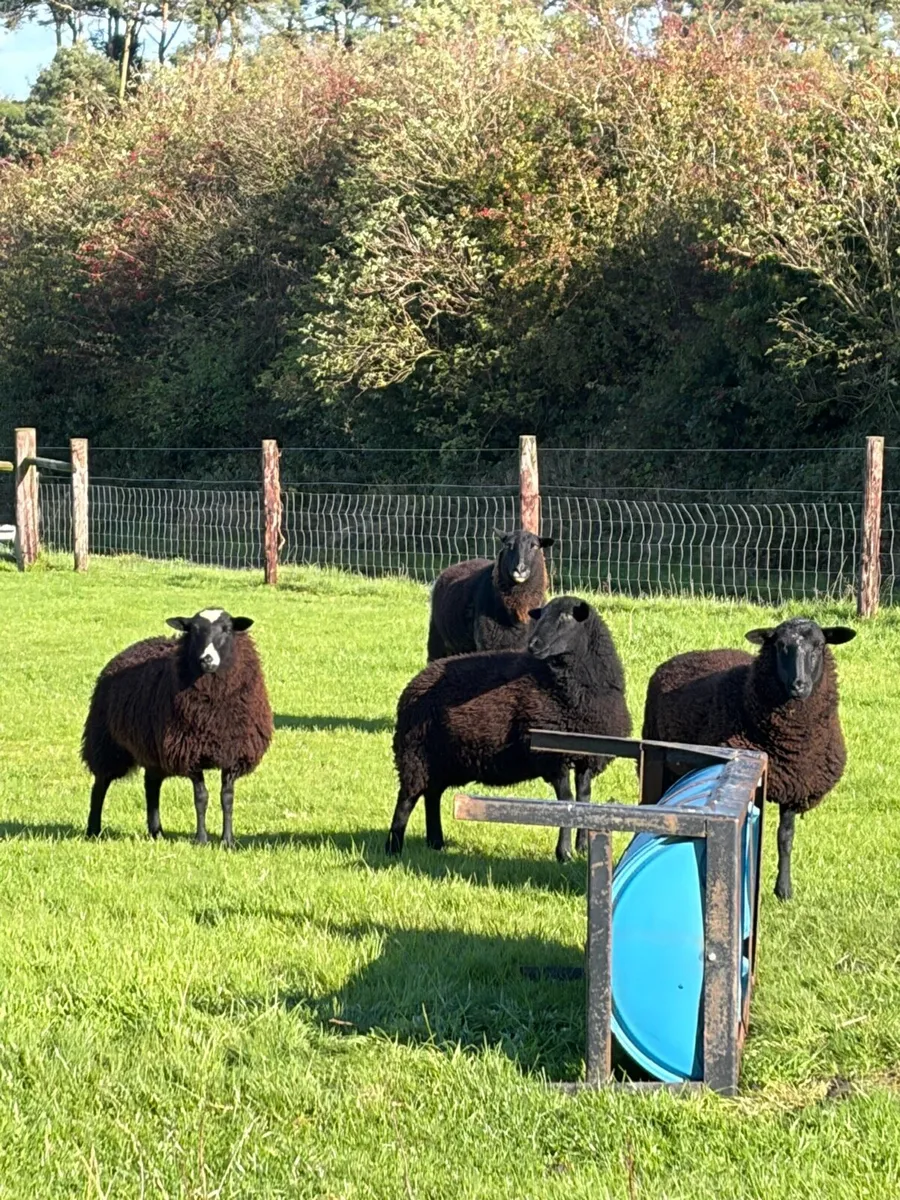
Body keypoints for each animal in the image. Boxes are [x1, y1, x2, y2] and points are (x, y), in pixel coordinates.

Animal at [82, 608, 273, 845]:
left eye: (227, 629)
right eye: (193, 630)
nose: (207, 660)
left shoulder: (233, 754)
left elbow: (227, 798)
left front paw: (228, 841)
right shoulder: (190, 753)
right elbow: (201, 797)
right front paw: (201, 839)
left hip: (152, 749)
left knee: (151, 785)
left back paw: (156, 832)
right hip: (107, 741)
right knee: (101, 784)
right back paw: (93, 830)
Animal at [388, 595, 631, 859]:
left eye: (566, 617)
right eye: (542, 615)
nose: (533, 645)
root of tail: (413, 685)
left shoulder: (587, 757)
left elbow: (584, 799)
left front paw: (584, 848)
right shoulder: (553, 757)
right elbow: (566, 801)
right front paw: (564, 853)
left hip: (441, 760)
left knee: (432, 795)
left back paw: (435, 842)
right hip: (416, 754)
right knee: (407, 799)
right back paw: (393, 847)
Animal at [426, 528, 554, 661]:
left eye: (535, 546)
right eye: (508, 545)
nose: (520, 569)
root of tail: (456, 565)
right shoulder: (487, 645)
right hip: (437, 640)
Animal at [641, 617, 856, 901]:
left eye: (820, 645)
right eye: (780, 646)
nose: (799, 685)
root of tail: (682, 656)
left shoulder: (794, 785)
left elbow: (785, 838)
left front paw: (783, 890)